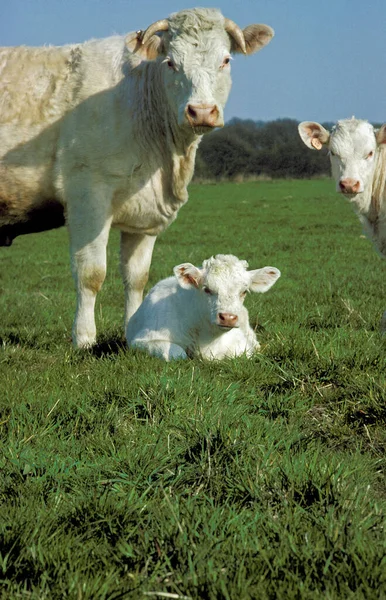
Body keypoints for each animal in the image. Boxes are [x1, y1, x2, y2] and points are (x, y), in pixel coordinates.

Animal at [0, 8, 274, 346]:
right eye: (170, 62)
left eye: (225, 60)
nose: (201, 111)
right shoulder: (88, 196)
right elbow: (91, 274)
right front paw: (84, 339)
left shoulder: (144, 214)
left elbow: (136, 278)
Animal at [126, 253, 280, 360]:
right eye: (206, 289)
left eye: (244, 292)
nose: (228, 317)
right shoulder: (142, 340)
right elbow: (176, 353)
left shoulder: (241, 343)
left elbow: (242, 353)